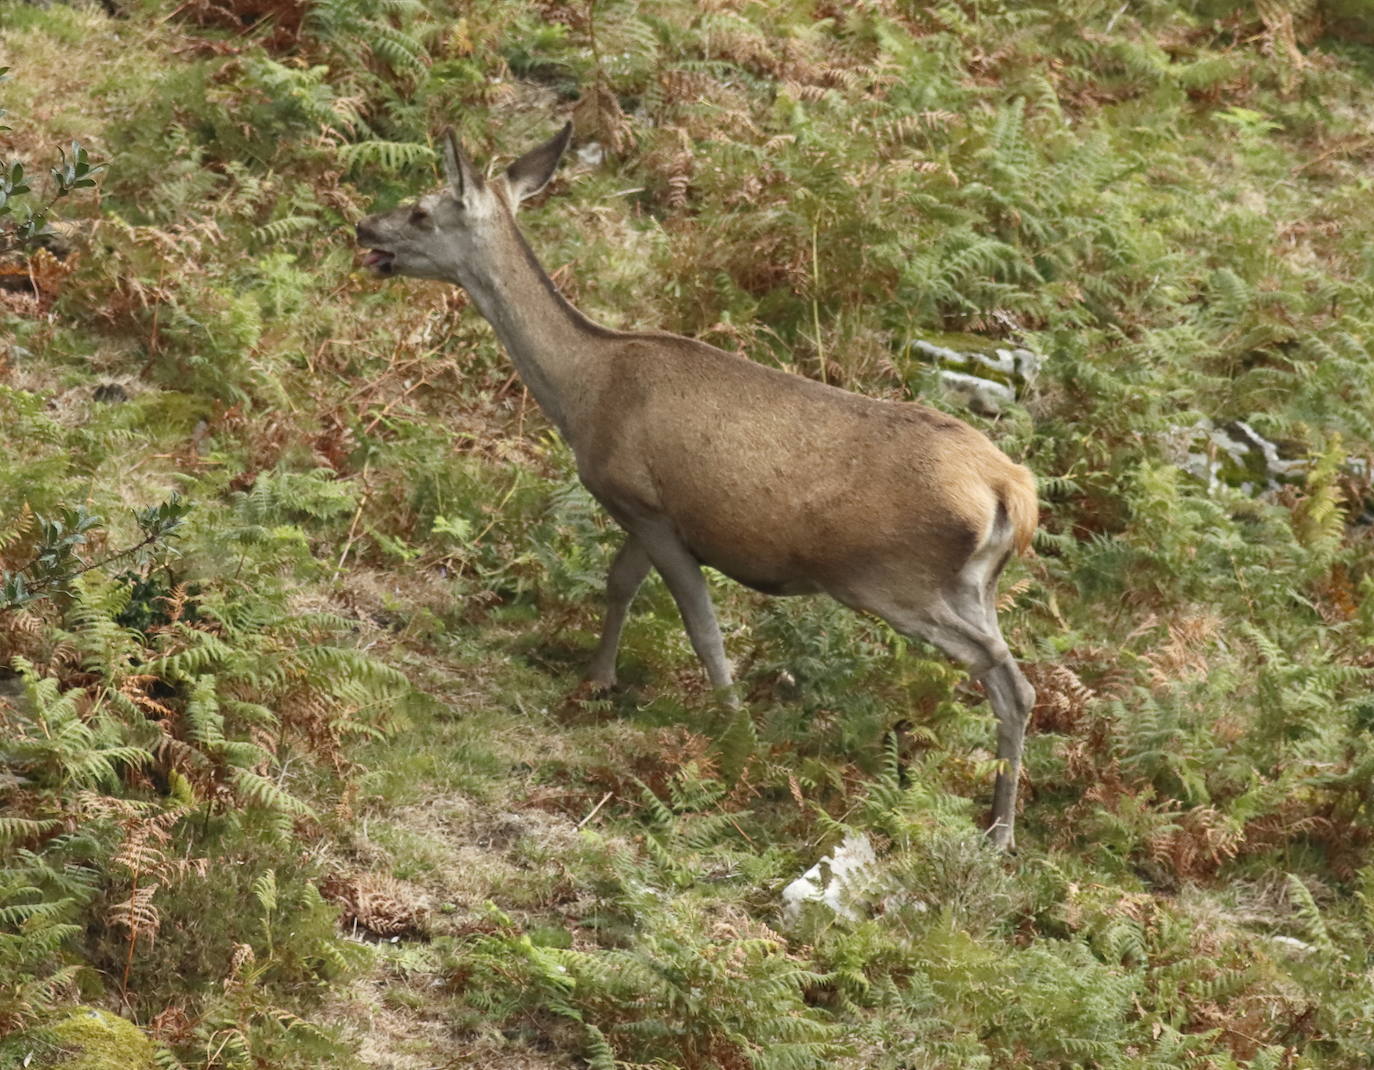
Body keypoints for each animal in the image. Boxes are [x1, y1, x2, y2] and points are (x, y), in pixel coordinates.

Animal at [357, 121, 1038, 851]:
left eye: (422, 211)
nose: (363, 226)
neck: (585, 392)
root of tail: (1012, 491)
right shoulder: (638, 510)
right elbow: (620, 584)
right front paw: (598, 681)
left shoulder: (649, 505)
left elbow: (701, 624)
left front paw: (732, 731)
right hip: (973, 584)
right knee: (1013, 678)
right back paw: (1000, 823)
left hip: (890, 577)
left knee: (1003, 673)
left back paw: (1000, 832)